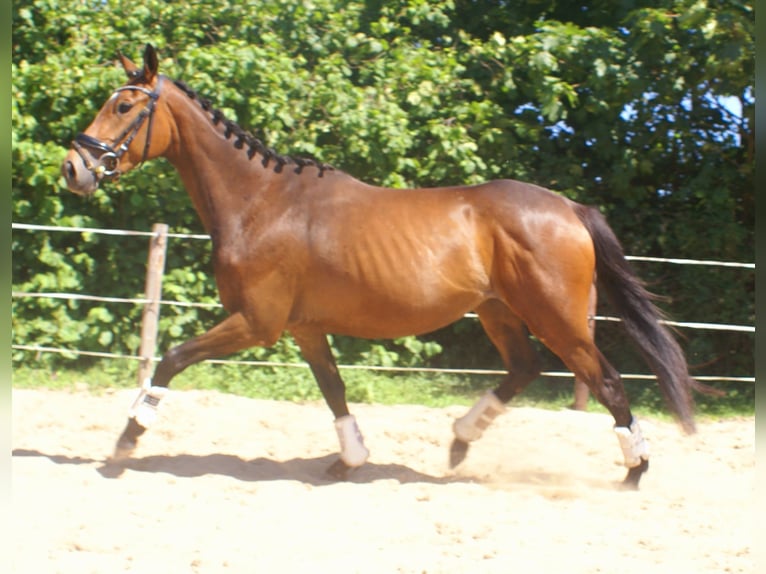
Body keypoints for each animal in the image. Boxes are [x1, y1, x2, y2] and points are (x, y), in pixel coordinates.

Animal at [62, 44, 715, 488]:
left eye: (124, 104)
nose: (74, 168)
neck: (261, 201)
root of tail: (570, 208)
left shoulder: (257, 323)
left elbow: (171, 361)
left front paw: (126, 442)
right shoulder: (302, 328)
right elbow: (334, 389)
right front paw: (348, 460)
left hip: (557, 318)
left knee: (607, 382)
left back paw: (634, 470)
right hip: (498, 311)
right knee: (524, 368)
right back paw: (460, 443)